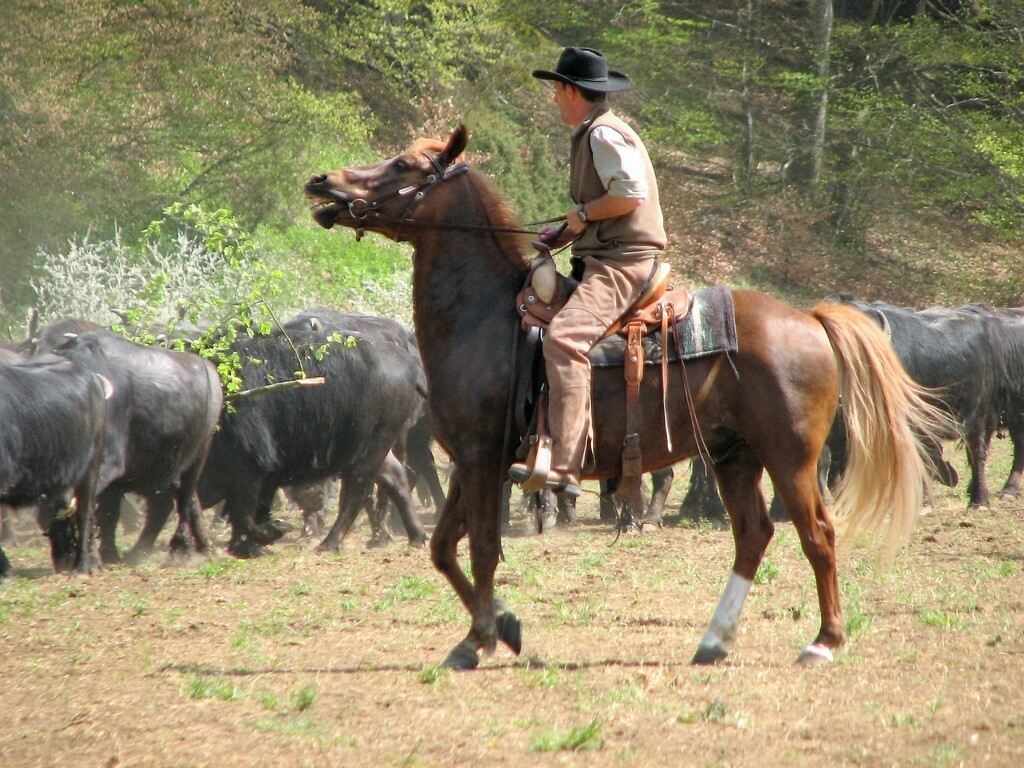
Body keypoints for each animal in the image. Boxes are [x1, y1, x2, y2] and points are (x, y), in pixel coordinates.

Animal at [303, 124, 950, 667]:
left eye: (404, 164)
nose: (321, 180)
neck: (487, 319)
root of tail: (810, 319)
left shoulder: (484, 459)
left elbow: (483, 547)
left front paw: (481, 639)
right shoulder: (467, 459)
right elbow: (442, 548)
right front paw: (500, 628)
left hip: (790, 458)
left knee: (817, 535)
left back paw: (823, 642)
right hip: (732, 455)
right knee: (753, 535)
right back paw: (714, 641)